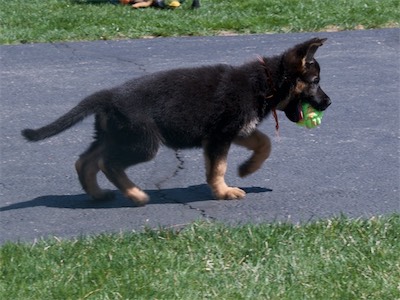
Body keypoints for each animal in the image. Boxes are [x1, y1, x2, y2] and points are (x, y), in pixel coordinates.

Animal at [21, 37, 332, 206]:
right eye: (315, 81)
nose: (329, 103)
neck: (265, 80)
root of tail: (109, 96)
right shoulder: (220, 136)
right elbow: (218, 168)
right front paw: (223, 192)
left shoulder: (235, 130)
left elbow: (264, 143)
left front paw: (246, 169)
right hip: (144, 143)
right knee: (108, 163)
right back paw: (135, 195)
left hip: (116, 135)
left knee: (86, 161)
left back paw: (98, 194)